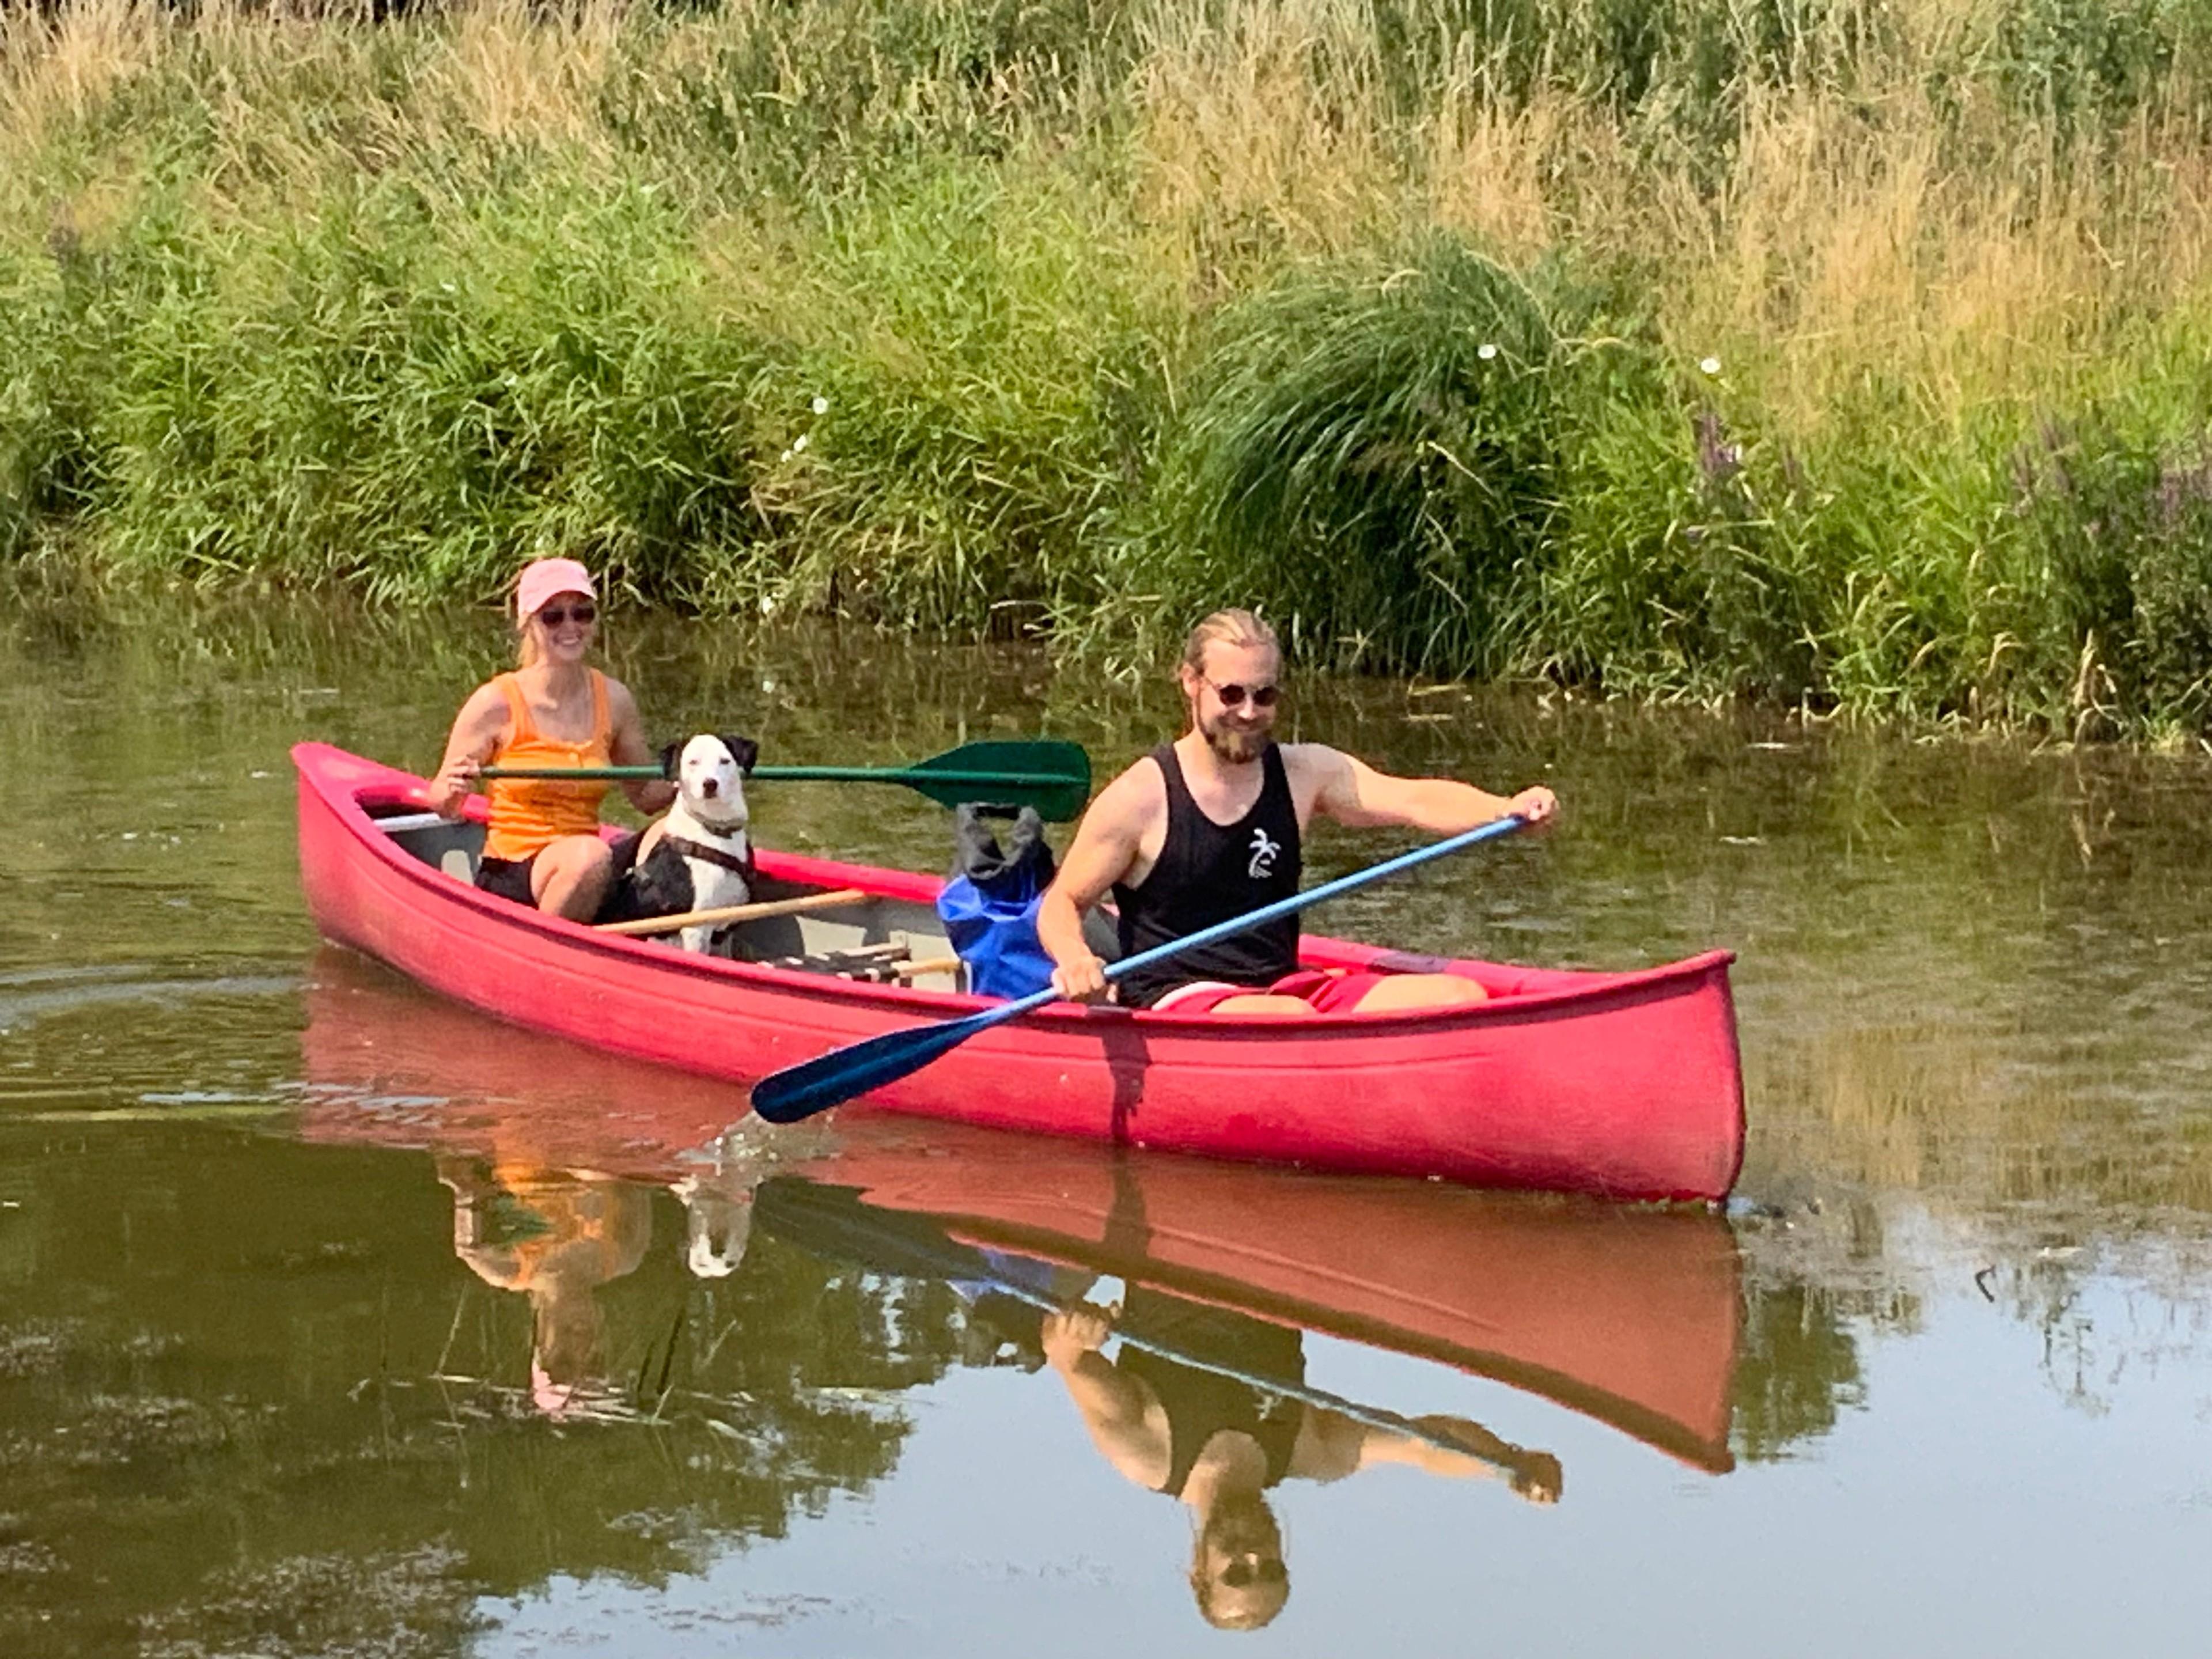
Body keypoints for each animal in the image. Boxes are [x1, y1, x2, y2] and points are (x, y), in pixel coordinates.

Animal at [610, 734, 765, 955]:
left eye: (725, 761)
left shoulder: (725, 928)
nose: (710, 784)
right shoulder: (696, 929)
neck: (715, 830)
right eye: (693, 762)